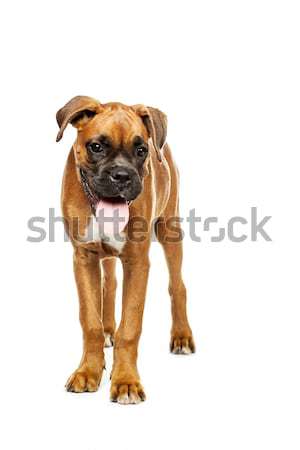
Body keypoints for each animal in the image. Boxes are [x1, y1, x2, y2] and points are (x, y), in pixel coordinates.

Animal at [56, 96, 196, 404]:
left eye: (141, 150)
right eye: (96, 146)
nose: (121, 175)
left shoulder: (137, 261)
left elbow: (130, 326)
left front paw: (125, 381)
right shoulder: (83, 257)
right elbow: (90, 321)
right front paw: (88, 371)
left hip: (170, 229)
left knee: (178, 285)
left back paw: (181, 336)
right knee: (109, 284)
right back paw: (109, 330)